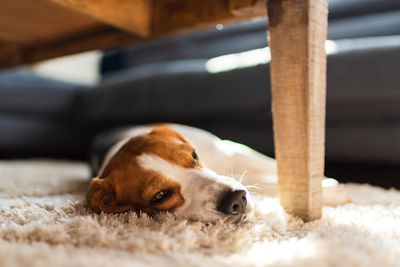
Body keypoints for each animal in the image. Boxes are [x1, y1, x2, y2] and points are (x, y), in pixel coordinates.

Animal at [86, 124, 346, 223]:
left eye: (194, 155)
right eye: (160, 196)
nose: (236, 200)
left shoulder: (230, 149)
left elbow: (274, 166)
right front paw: (328, 191)